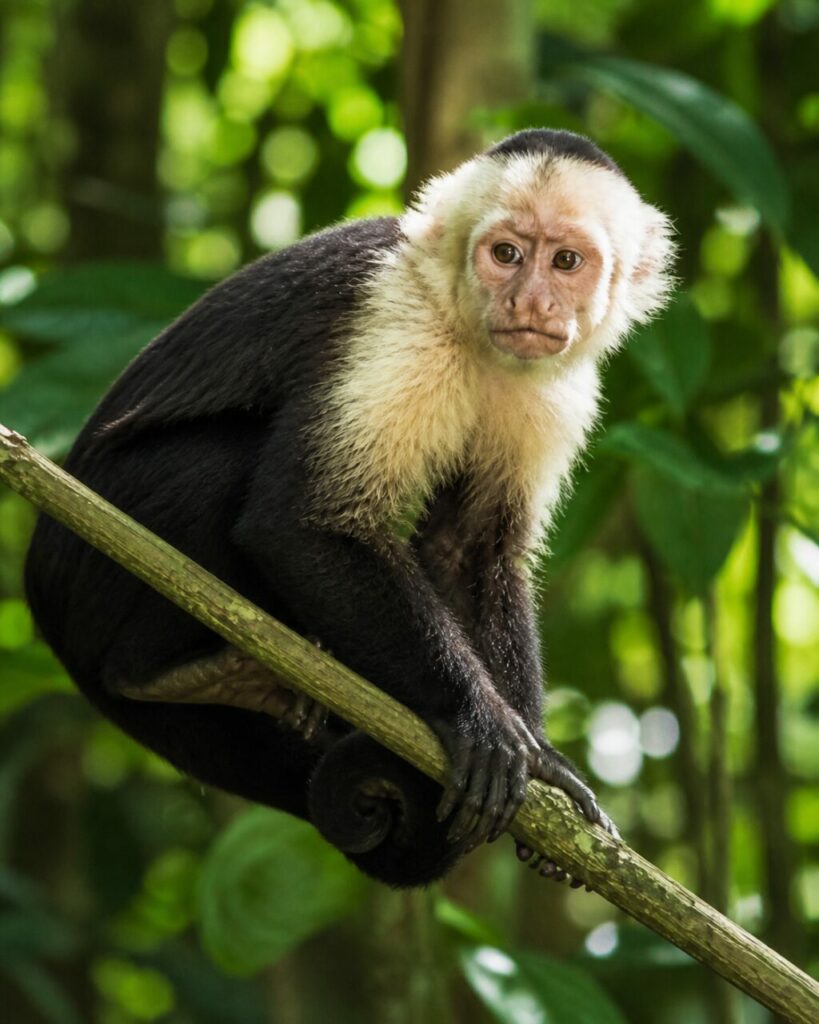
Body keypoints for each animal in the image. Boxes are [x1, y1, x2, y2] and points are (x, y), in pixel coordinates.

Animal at [23, 129, 675, 888]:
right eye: (506, 254)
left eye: (566, 261)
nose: (532, 303)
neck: (462, 322)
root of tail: (40, 590)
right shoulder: (395, 328)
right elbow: (299, 523)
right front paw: (481, 724)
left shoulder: (555, 390)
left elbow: (471, 548)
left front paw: (540, 766)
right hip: (87, 562)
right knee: (224, 467)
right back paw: (154, 671)